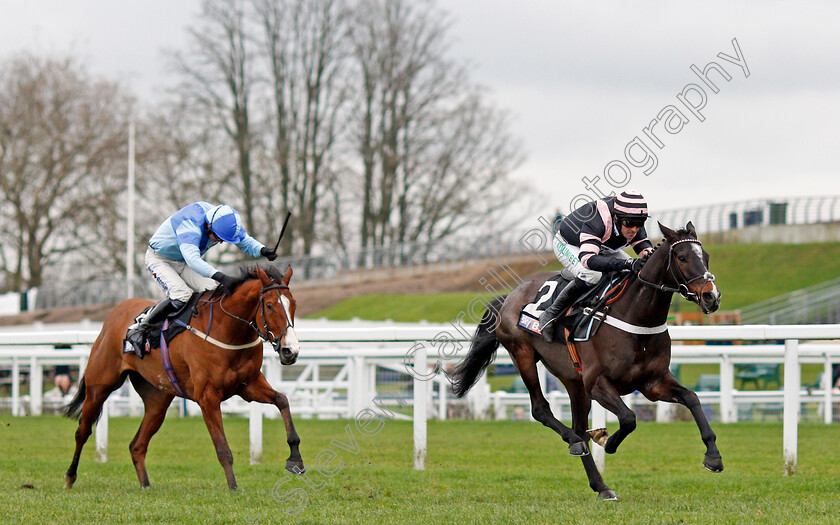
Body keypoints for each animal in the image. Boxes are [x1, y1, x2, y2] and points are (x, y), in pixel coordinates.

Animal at [63, 264, 306, 490]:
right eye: (270, 305)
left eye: (294, 304)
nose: (290, 351)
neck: (229, 330)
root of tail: (115, 313)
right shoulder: (208, 397)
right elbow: (223, 449)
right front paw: (234, 488)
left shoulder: (249, 385)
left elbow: (282, 400)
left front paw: (295, 459)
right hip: (99, 386)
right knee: (82, 431)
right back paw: (69, 477)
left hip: (157, 400)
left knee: (137, 445)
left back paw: (145, 485)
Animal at [452, 221, 720, 500]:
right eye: (682, 257)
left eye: (706, 256)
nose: (712, 297)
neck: (636, 318)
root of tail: (510, 295)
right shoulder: (598, 384)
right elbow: (628, 418)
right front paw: (607, 441)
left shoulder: (653, 383)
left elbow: (691, 397)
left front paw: (713, 457)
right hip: (523, 354)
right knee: (542, 410)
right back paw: (576, 443)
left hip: (574, 382)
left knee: (579, 426)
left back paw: (601, 485)